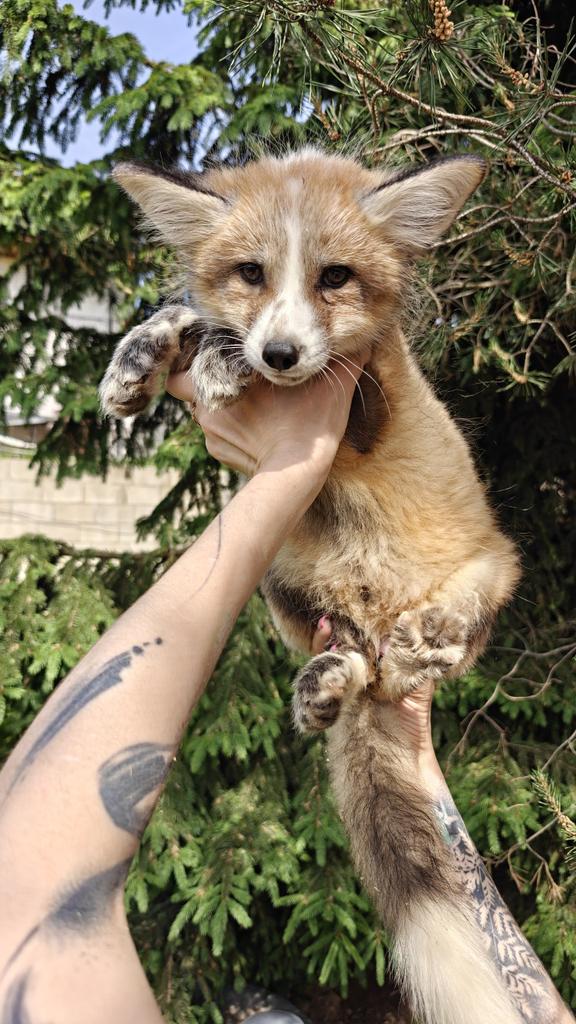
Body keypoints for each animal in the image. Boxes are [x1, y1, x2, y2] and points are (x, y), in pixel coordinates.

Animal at [100, 149, 522, 1024]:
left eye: (335, 278)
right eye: (252, 274)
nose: (281, 356)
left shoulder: (369, 392)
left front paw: (214, 357)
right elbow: (182, 310)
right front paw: (140, 361)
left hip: (495, 568)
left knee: (441, 641)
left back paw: (428, 639)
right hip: (280, 584)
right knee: (357, 666)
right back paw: (328, 680)